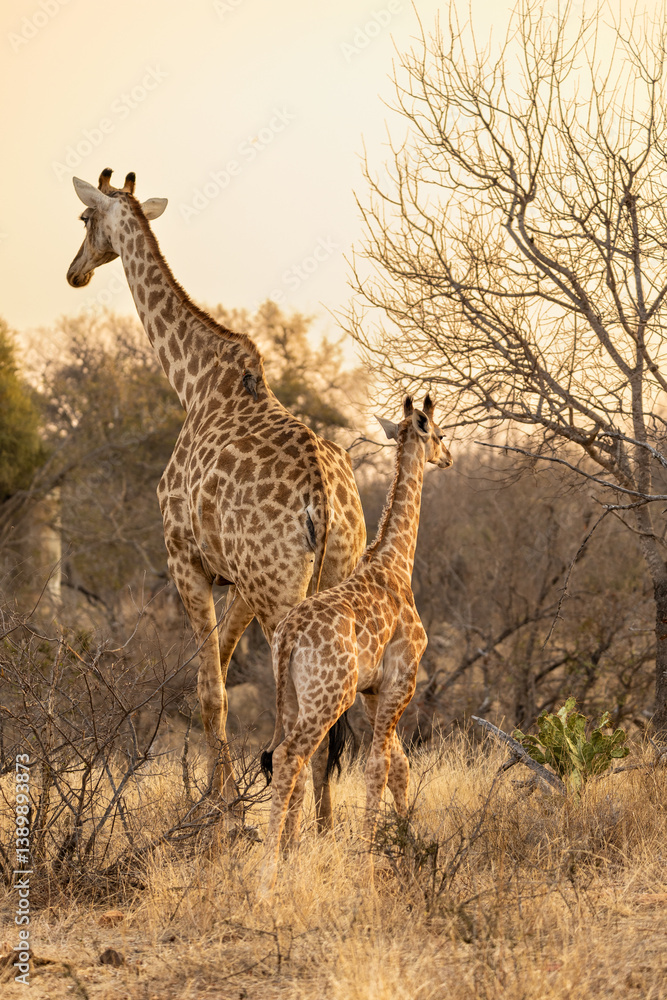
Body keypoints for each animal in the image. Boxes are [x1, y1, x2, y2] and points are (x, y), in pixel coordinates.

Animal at [66, 168, 366, 821]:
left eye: (84, 219)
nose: (74, 271)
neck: (193, 381)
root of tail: (325, 500)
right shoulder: (242, 580)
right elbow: (223, 676)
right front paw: (217, 795)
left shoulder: (186, 558)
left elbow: (209, 689)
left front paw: (216, 812)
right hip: (334, 577)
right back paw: (333, 830)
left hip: (285, 596)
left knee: (300, 717)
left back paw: (291, 832)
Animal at [258, 395, 452, 893]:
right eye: (439, 433)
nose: (448, 457)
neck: (396, 561)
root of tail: (287, 638)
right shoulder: (402, 681)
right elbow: (378, 766)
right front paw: (369, 858)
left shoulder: (372, 692)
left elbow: (399, 765)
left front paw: (411, 848)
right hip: (329, 696)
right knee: (289, 756)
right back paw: (270, 869)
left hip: (294, 698)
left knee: (292, 764)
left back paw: (288, 855)